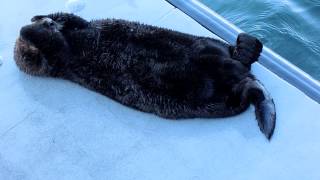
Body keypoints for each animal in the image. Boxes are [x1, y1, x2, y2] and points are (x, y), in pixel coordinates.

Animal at [14, 12, 276, 139]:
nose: (49, 24)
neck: (68, 37)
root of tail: (242, 76)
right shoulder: (55, 60)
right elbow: (38, 48)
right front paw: (34, 30)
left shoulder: (79, 25)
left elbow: (69, 16)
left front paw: (42, 19)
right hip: (219, 100)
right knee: (244, 93)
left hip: (208, 44)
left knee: (236, 55)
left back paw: (246, 45)